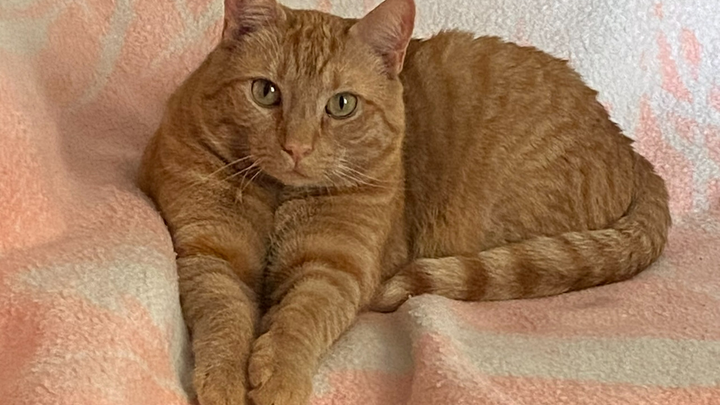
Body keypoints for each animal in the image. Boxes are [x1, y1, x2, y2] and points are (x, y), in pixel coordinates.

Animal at [138, 0, 671, 404]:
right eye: (265, 92)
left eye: (342, 105)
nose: (297, 147)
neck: (280, 195)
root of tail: (632, 151)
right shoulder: (210, 253)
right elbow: (224, 315)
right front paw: (225, 379)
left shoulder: (337, 268)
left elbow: (301, 320)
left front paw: (279, 376)